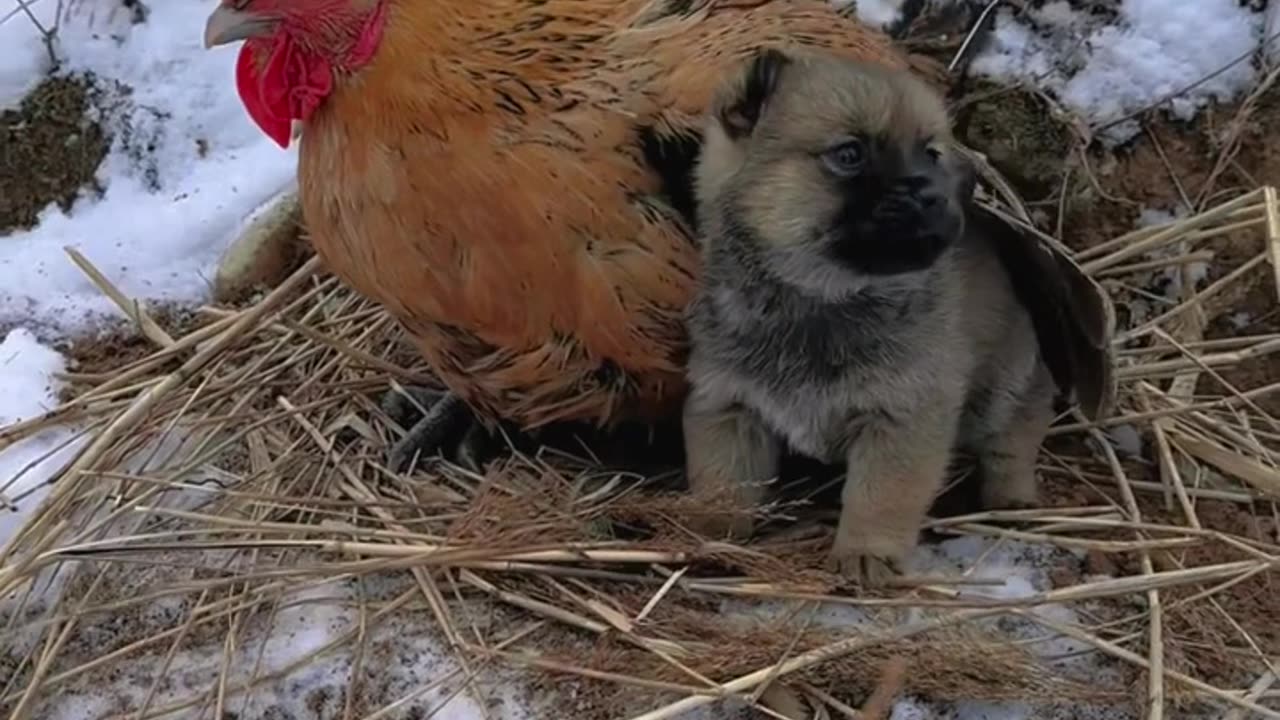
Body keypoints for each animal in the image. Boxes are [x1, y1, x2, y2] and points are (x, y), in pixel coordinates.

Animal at [680, 50, 1100, 586]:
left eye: (931, 154)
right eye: (849, 154)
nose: (936, 196)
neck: (819, 299)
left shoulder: (903, 418)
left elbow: (880, 497)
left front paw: (866, 554)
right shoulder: (728, 408)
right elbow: (723, 485)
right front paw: (709, 535)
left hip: (1008, 385)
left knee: (1017, 434)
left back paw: (1013, 499)